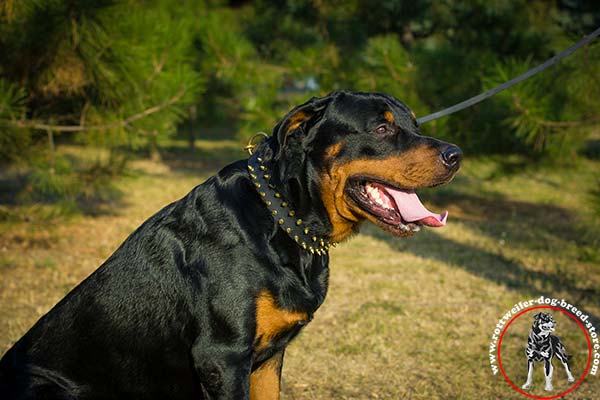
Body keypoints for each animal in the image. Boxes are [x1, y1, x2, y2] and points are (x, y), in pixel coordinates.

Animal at [0, 91, 462, 400]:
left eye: (415, 125)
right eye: (382, 128)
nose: (456, 154)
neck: (284, 221)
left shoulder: (267, 360)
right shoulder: (222, 357)